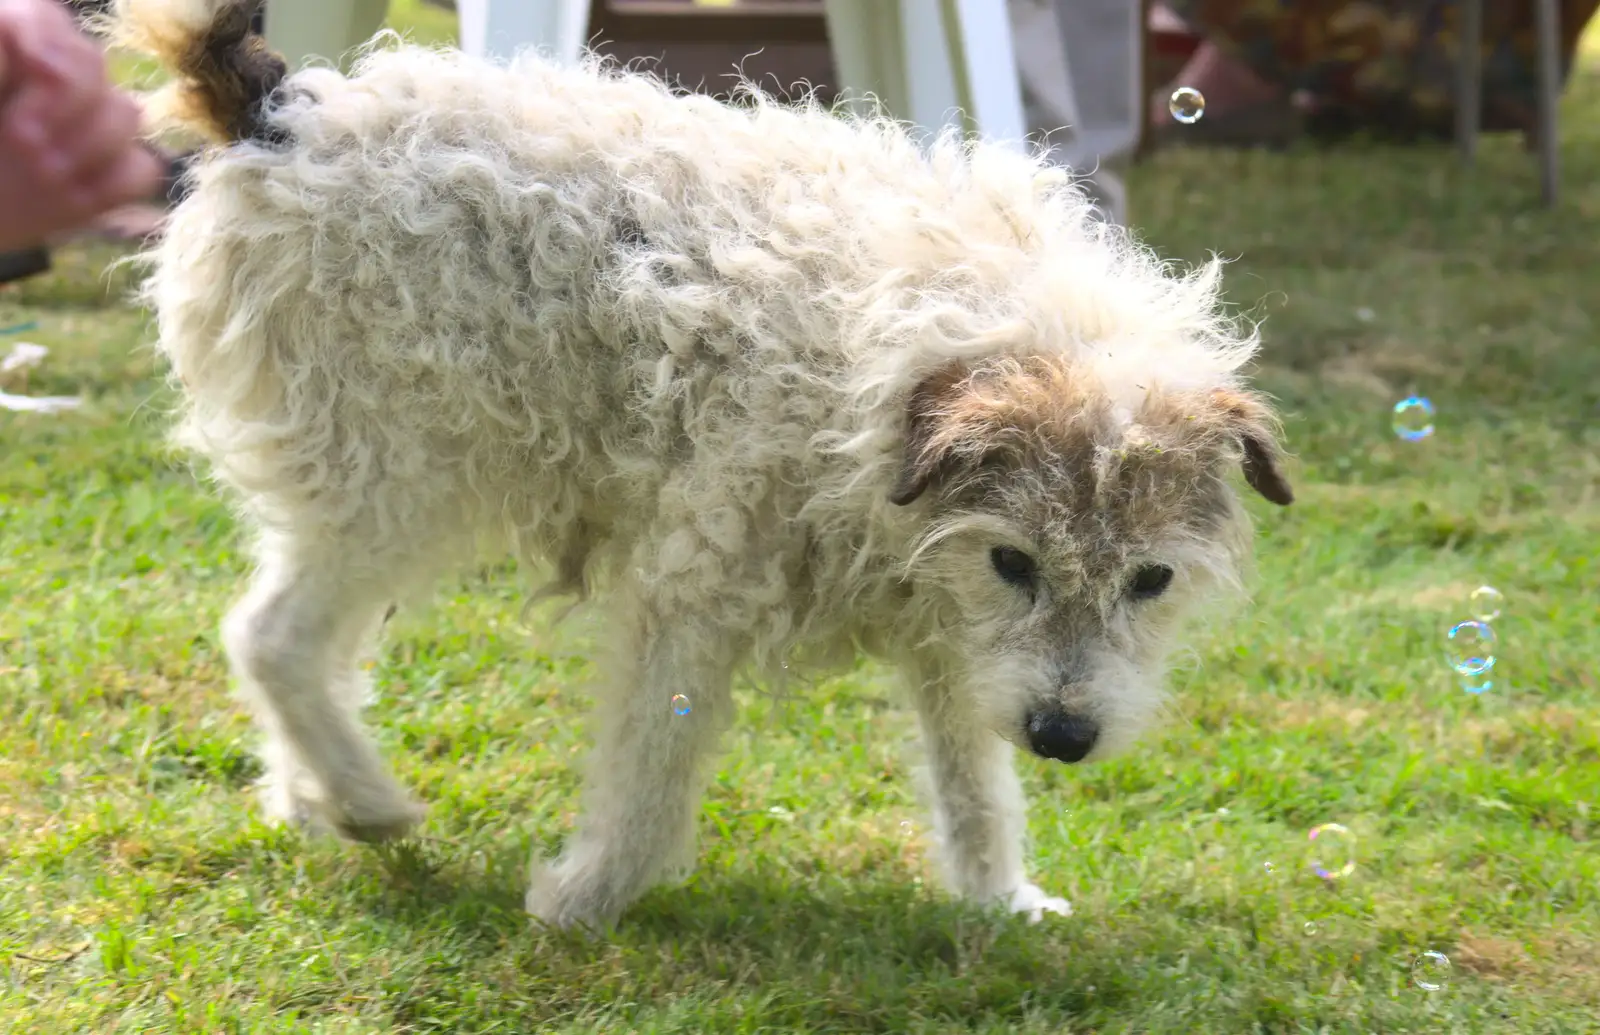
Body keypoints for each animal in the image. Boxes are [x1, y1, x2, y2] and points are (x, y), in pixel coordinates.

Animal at [109, 0, 1286, 934]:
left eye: (1150, 580)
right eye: (1017, 562)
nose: (1064, 736)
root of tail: (283, 112)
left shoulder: (944, 622)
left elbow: (973, 781)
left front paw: (1000, 900)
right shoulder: (700, 587)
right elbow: (652, 768)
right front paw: (585, 900)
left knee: (309, 646)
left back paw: (316, 797)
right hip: (403, 484)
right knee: (271, 637)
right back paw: (365, 801)